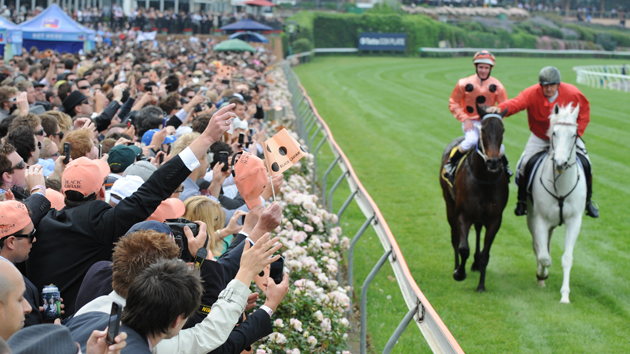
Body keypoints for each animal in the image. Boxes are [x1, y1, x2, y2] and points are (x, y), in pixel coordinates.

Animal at [528, 103, 588, 304]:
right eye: (554, 132)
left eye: (574, 135)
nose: (561, 163)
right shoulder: (540, 220)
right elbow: (544, 256)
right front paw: (542, 274)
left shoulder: (574, 221)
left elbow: (567, 258)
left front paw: (565, 295)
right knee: (539, 246)